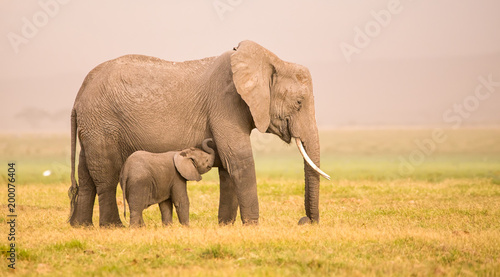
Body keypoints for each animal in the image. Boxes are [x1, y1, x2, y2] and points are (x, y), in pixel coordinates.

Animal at [68, 41, 330, 226]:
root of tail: (79, 95)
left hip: (93, 127)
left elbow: (227, 166)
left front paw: (225, 226)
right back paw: (113, 227)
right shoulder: (225, 103)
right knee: (106, 175)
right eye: (299, 102)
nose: (305, 221)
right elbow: (239, 160)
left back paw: (81, 226)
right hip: (102, 123)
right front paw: (253, 226)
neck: (269, 62)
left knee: (87, 172)